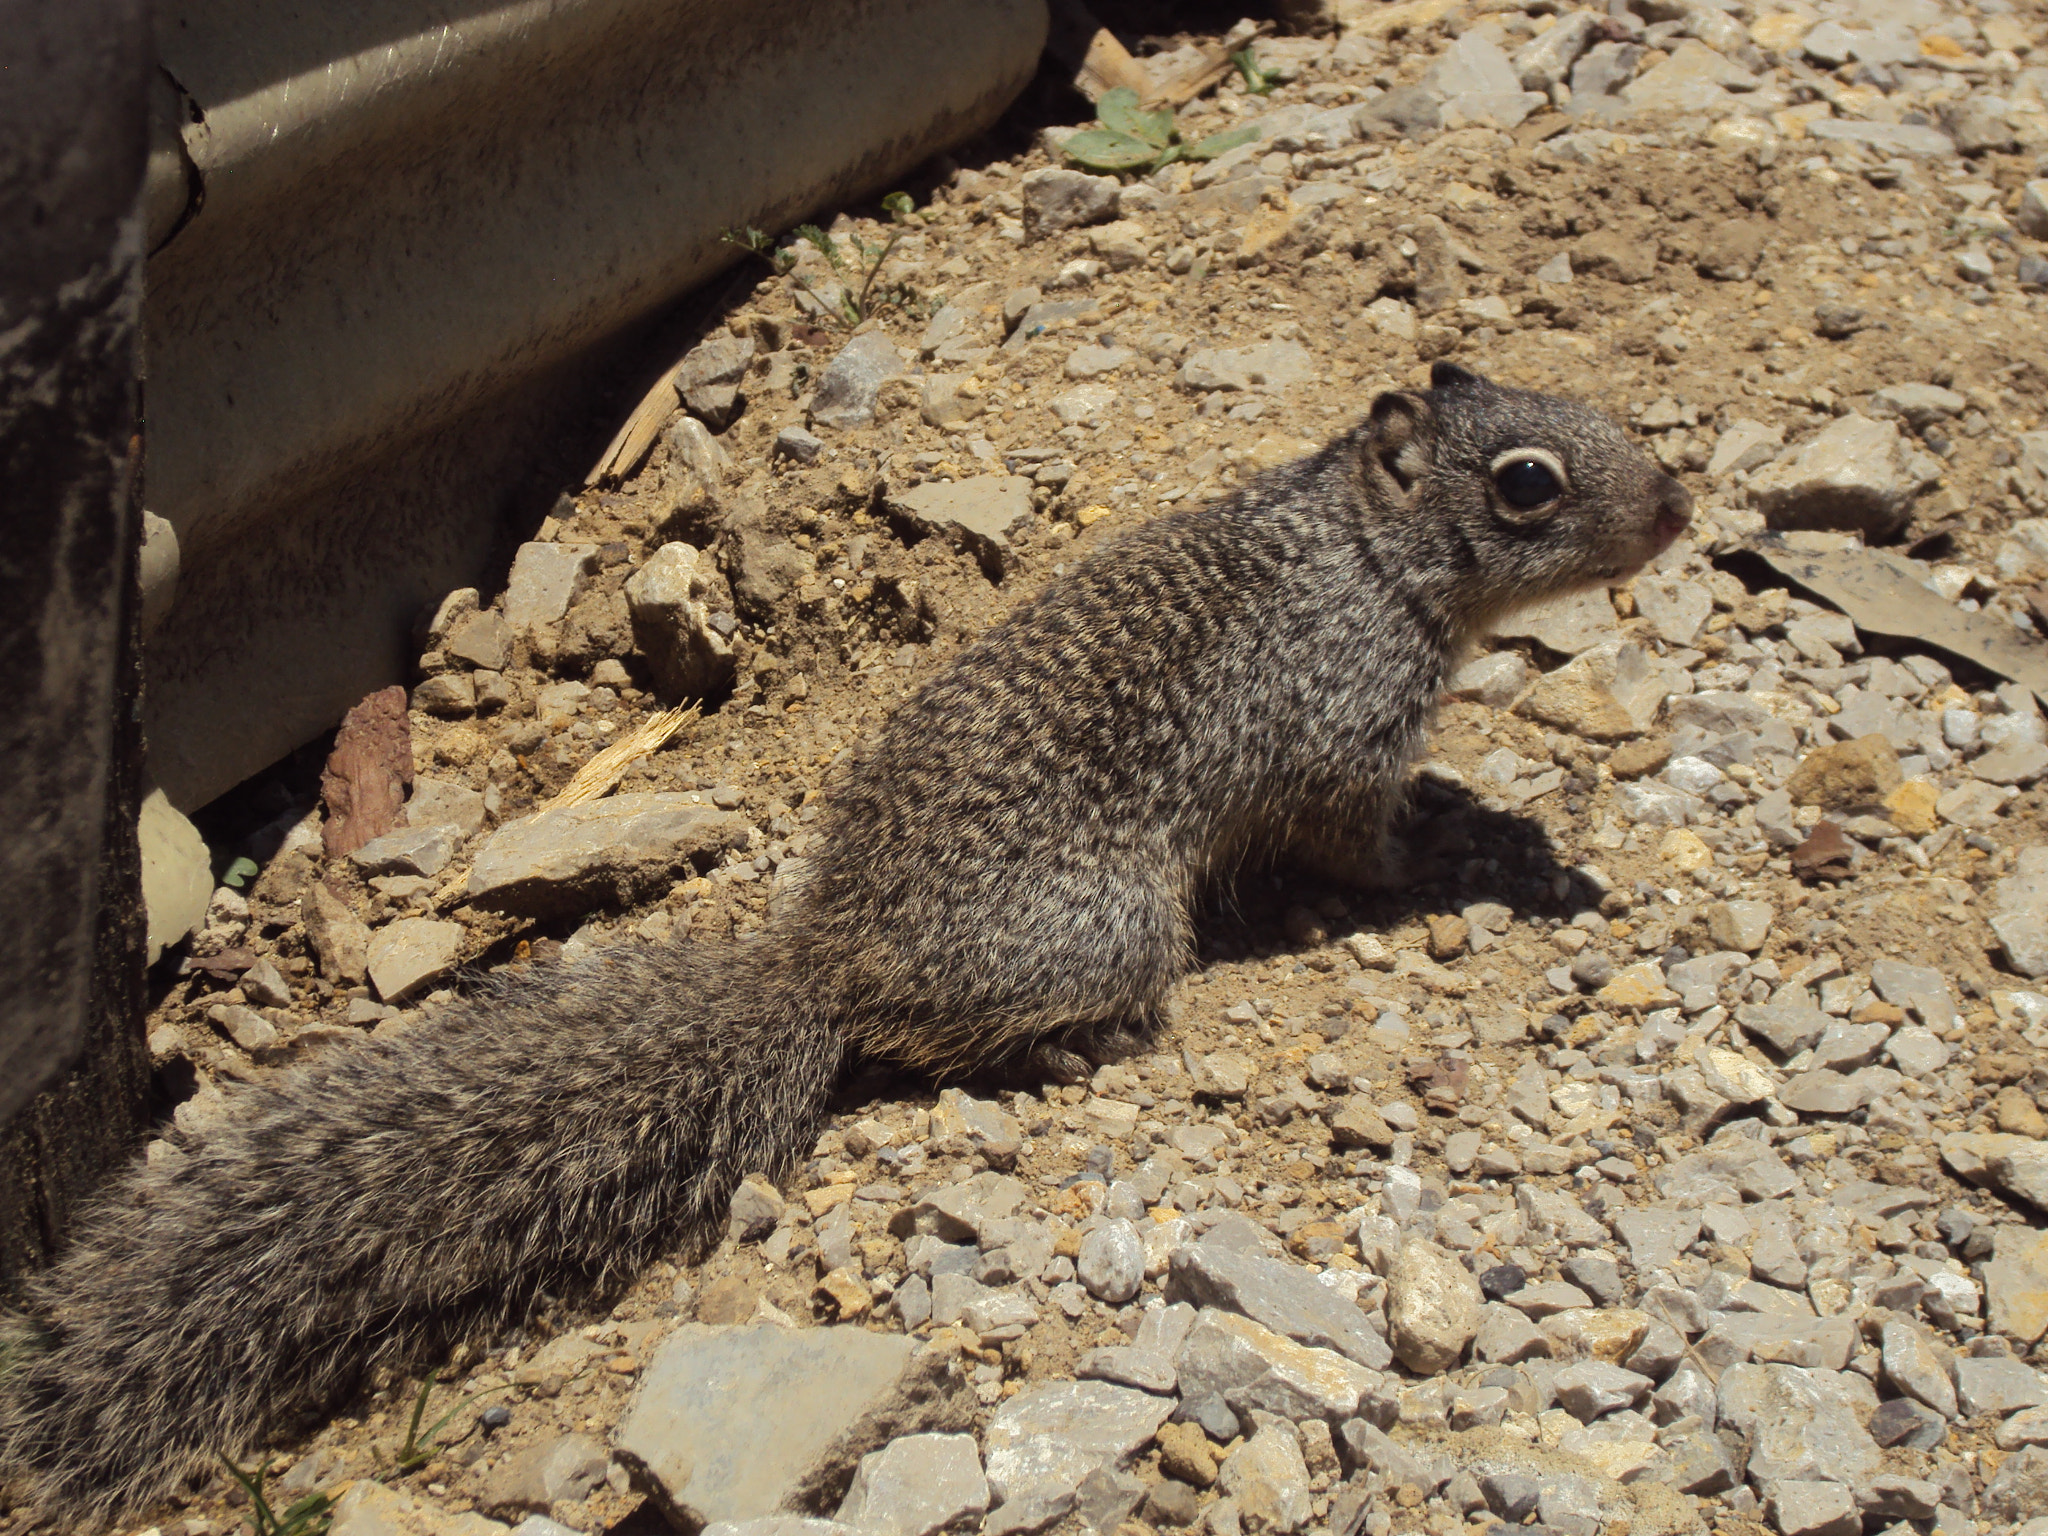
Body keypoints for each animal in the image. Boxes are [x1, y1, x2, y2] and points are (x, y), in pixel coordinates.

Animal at [0, 360, 1687, 1531]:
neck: (1361, 543)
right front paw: (1442, 853)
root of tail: (828, 961)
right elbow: (1359, 836)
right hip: (1120, 926)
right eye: (1527, 482)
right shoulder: (1342, 737)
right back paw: (1073, 1048)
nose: (1678, 509)